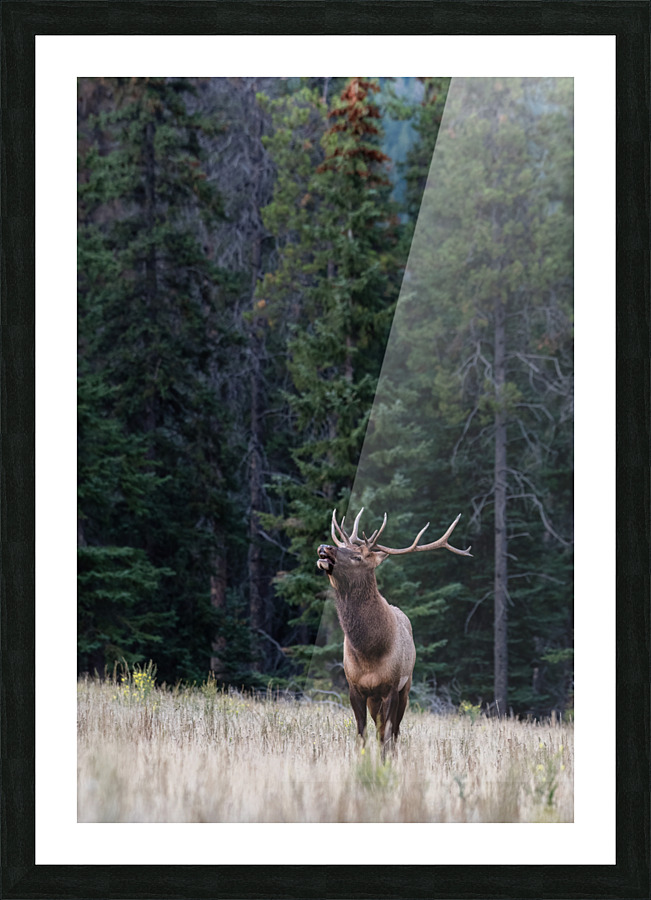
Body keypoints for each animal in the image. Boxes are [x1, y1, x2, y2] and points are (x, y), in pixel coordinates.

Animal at [317, 508, 472, 754]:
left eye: (358, 557)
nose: (325, 547)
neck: (368, 653)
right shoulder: (354, 687)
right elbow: (361, 734)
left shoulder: (391, 687)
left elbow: (386, 736)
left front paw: (385, 760)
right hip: (375, 699)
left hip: (405, 687)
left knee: (395, 731)